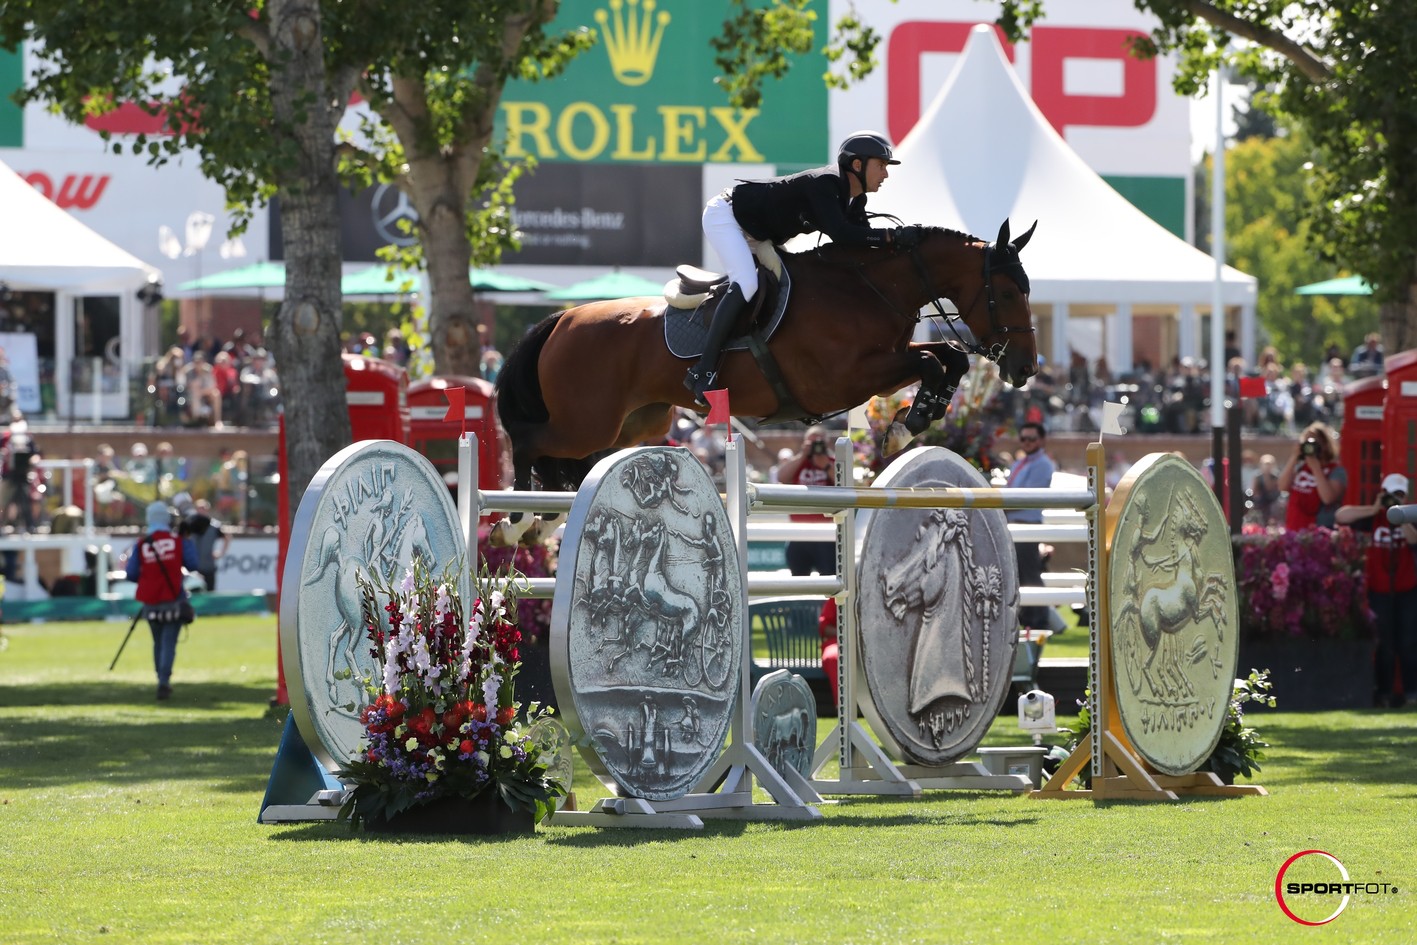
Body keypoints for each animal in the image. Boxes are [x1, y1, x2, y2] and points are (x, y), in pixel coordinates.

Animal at [493, 219, 1037, 518]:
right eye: (1009, 292)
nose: (1026, 368)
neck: (864, 287)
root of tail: (563, 318)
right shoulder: (843, 379)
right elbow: (932, 359)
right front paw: (911, 422)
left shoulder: (881, 363)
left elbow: (948, 358)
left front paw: (918, 416)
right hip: (587, 421)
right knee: (528, 439)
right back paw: (519, 517)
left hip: (636, 423)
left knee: (578, 462)